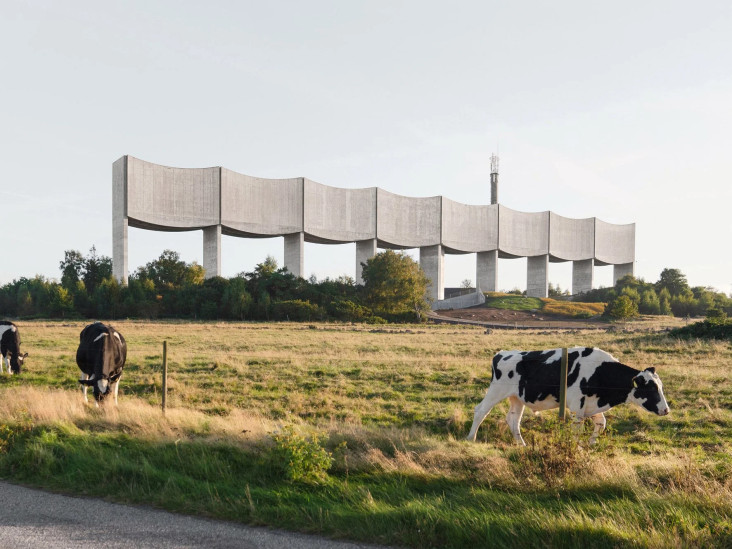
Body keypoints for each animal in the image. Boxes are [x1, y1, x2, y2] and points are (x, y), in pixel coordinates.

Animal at [468, 346, 668, 446]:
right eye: (651, 389)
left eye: (660, 386)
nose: (666, 410)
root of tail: (501, 353)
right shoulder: (577, 406)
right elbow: (577, 430)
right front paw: (577, 447)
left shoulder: (592, 404)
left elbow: (601, 424)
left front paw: (591, 445)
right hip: (496, 390)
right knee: (480, 410)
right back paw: (471, 438)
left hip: (517, 398)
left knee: (513, 419)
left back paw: (521, 444)